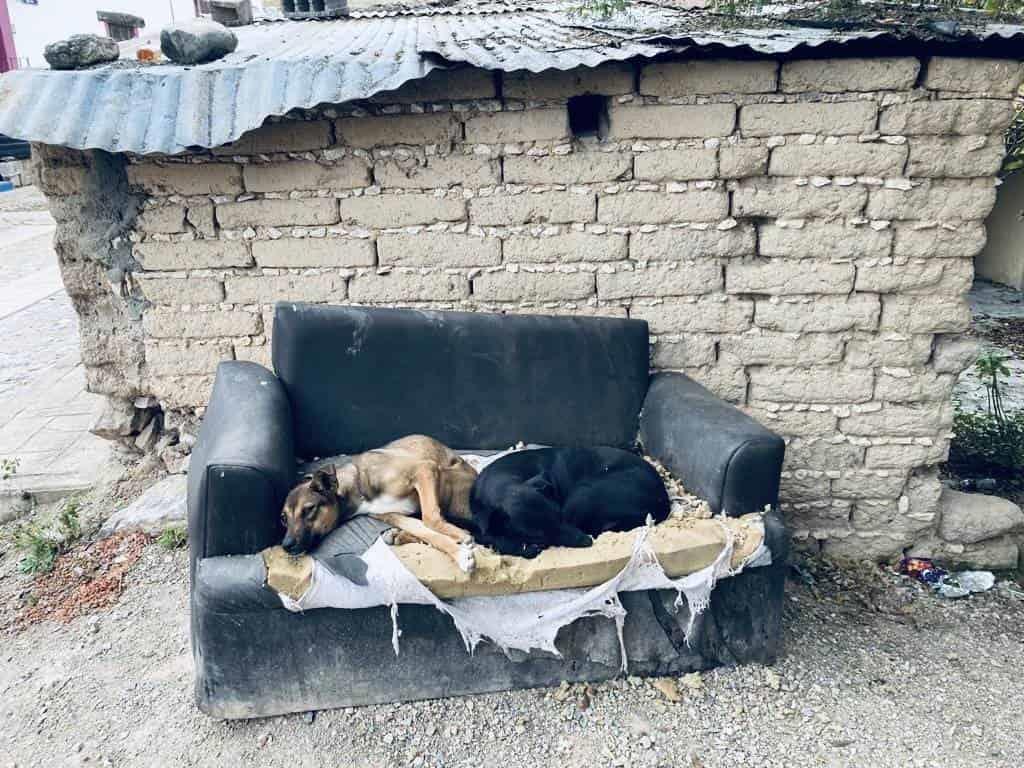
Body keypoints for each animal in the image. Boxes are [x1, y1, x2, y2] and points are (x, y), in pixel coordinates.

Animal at [280, 436, 479, 573]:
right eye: (283, 519)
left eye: (309, 509)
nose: (285, 546)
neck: (358, 485)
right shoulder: (394, 515)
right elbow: (425, 530)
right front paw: (459, 552)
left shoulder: (424, 469)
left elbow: (430, 518)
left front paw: (460, 542)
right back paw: (397, 536)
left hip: (445, 476)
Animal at [466, 444, 671, 561]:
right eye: (538, 534)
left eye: (559, 516)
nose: (586, 541)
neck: (502, 480)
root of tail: (662, 502)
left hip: (582, 495)